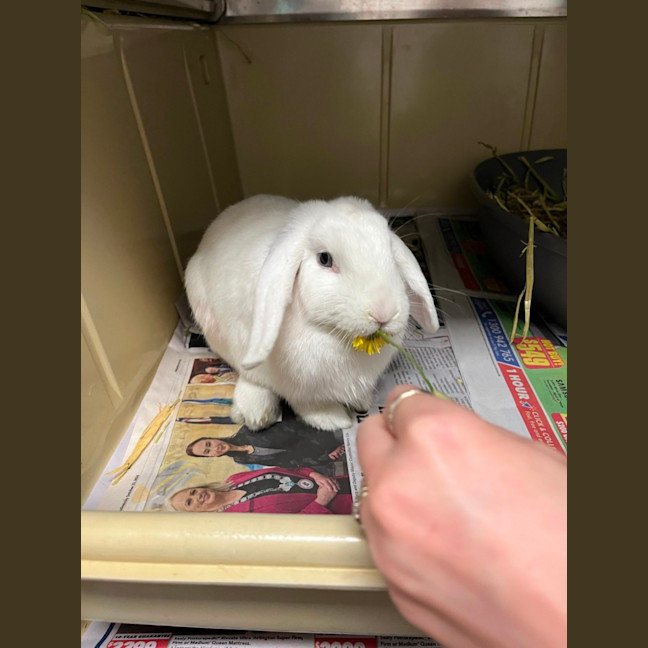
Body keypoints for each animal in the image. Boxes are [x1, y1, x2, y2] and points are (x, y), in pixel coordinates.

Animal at [184, 195, 439, 432]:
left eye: (391, 256)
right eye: (325, 259)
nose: (383, 312)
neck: (333, 333)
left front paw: (362, 403)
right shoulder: (303, 389)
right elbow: (311, 405)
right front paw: (333, 421)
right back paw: (255, 415)